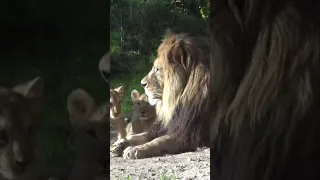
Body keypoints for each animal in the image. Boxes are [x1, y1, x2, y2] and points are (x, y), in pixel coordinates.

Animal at [114, 30, 211, 160]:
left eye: (158, 69)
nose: (142, 83)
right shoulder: (164, 125)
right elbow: (142, 135)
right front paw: (120, 143)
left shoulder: (187, 134)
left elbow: (159, 141)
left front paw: (135, 149)